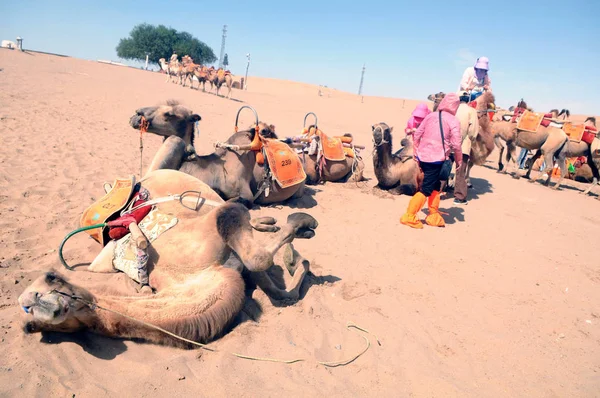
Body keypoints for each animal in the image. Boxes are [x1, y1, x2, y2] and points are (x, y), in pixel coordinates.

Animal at [17, 169, 318, 346]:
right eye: (30, 324)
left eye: (51, 278)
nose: (30, 301)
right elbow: (277, 285)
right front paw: (297, 254)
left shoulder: (217, 230)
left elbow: (260, 260)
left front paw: (301, 225)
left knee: (236, 207)